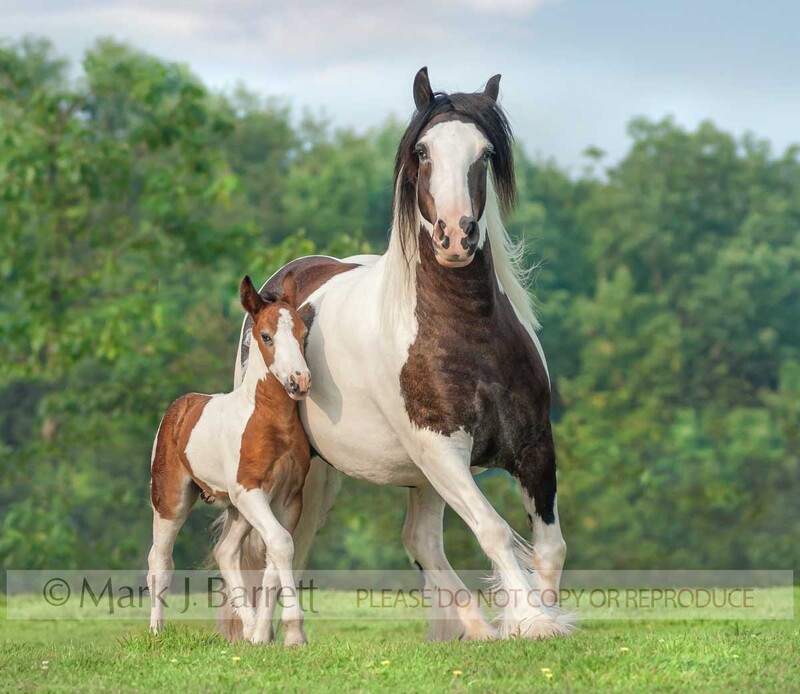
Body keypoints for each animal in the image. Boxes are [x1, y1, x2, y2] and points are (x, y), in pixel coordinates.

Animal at [148, 273, 312, 645]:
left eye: (303, 332)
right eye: (266, 336)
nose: (300, 381)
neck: (269, 420)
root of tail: (179, 408)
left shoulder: (288, 497)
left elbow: (275, 554)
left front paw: (262, 636)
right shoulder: (249, 489)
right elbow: (281, 543)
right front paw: (295, 632)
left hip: (236, 509)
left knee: (225, 552)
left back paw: (249, 629)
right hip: (171, 500)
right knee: (160, 560)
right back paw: (156, 631)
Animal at [220, 67, 574, 641]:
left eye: (484, 154)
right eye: (423, 151)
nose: (456, 236)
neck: (468, 333)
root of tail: (277, 286)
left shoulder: (534, 446)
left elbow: (550, 546)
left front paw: (542, 616)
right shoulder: (441, 451)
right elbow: (494, 530)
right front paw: (532, 621)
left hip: (406, 477)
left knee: (418, 542)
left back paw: (472, 630)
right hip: (311, 471)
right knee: (279, 544)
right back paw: (265, 635)